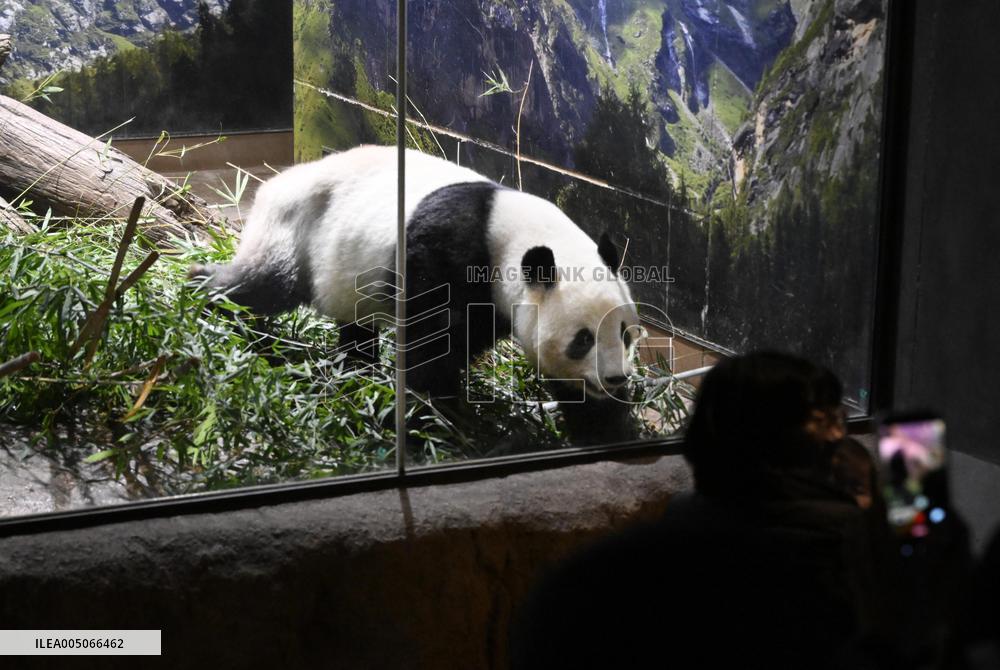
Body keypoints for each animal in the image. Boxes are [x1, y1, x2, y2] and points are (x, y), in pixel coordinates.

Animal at [190, 145, 642, 445]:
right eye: (582, 339)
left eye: (625, 334)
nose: (615, 377)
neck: (511, 235)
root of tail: (277, 179)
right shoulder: (447, 253)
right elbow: (432, 343)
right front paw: (436, 419)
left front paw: (606, 429)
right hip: (295, 227)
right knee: (263, 283)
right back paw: (205, 295)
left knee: (355, 327)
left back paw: (357, 375)